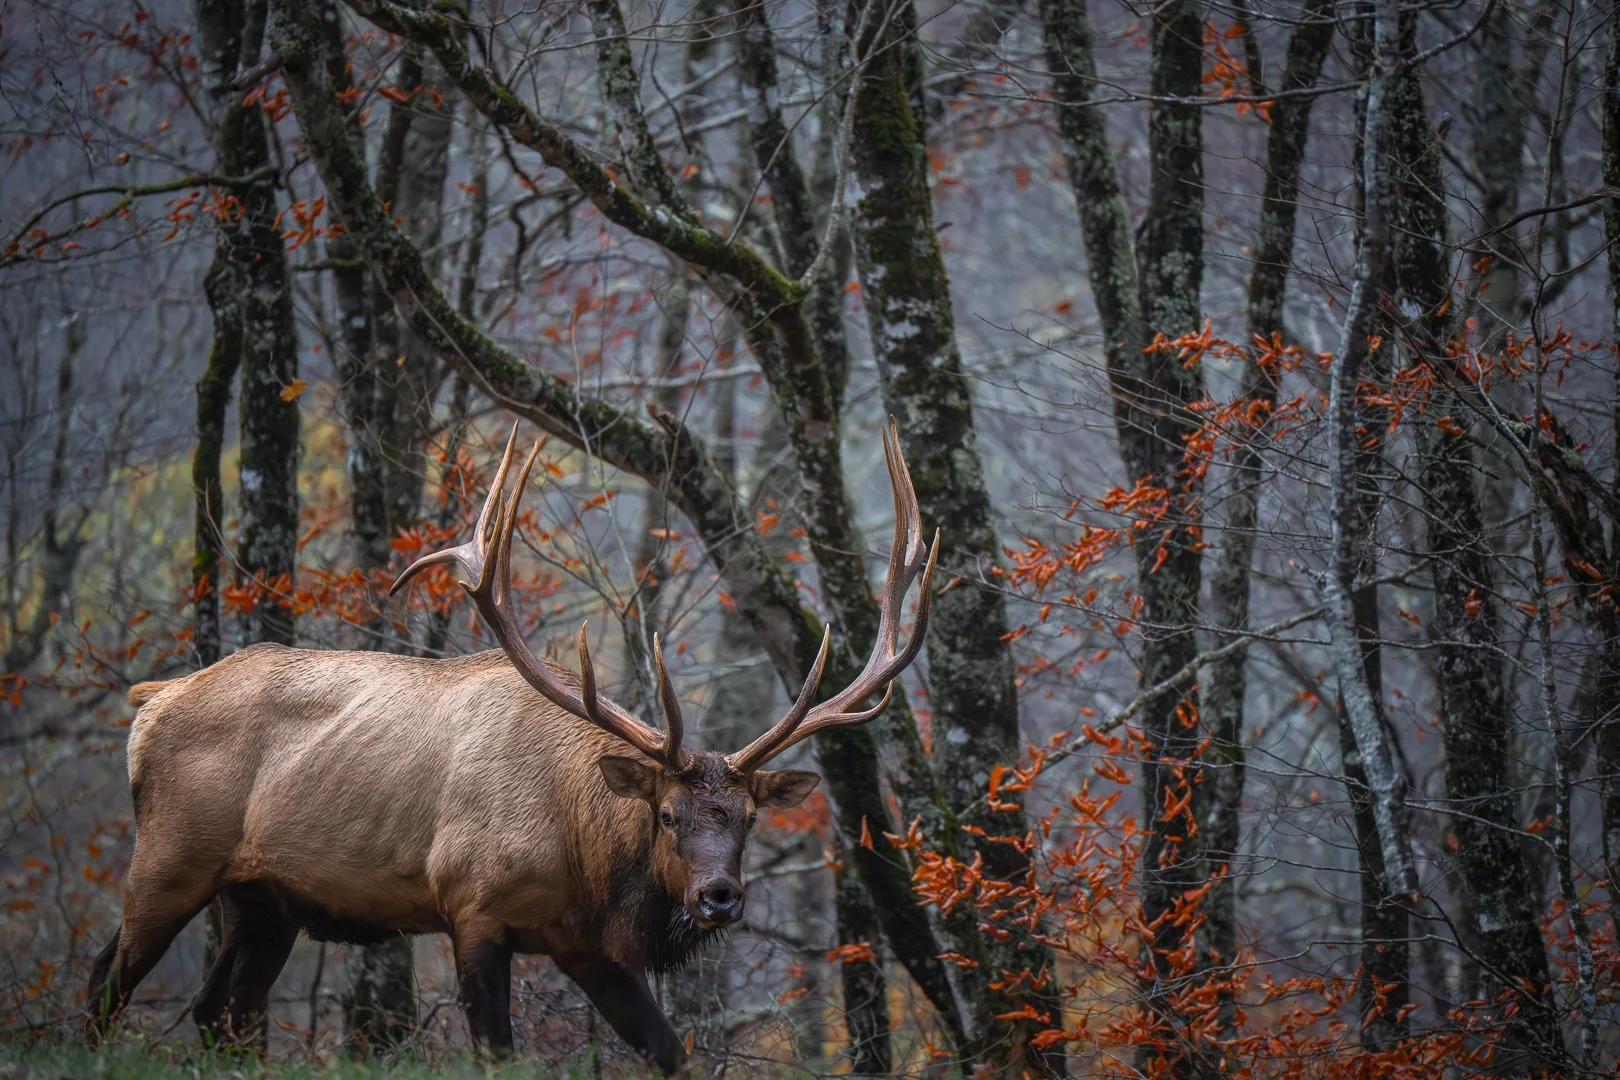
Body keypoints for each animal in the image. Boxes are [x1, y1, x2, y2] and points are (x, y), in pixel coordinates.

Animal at [85, 419, 938, 1073]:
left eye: (748, 818)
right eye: (666, 814)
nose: (718, 896)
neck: (578, 848)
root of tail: (151, 702)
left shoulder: (586, 946)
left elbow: (671, 1051)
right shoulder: (472, 904)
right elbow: (497, 1051)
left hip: (263, 898)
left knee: (217, 1011)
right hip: (171, 856)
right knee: (106, 978)